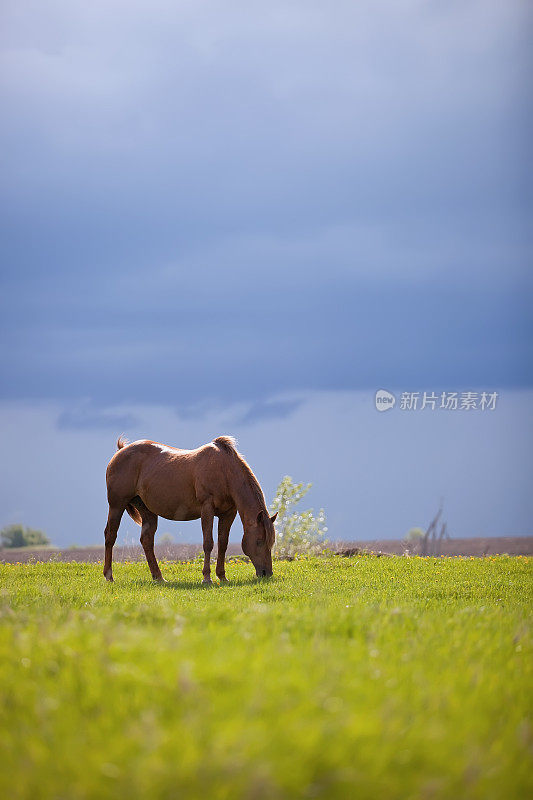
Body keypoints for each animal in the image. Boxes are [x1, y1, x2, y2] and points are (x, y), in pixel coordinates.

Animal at [104, 434, 278, 584]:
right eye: (259, 541)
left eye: (271, 541)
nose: (267, 573)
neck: (224, 471)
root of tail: (120, 451)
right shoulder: (207, 509)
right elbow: (208, 543)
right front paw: (207, 578)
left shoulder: (228, 513)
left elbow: (223, 544)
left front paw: (222, 576)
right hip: (116, 505)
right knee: (110, 535)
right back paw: (109, 576)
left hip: (147, 510)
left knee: (146, 540)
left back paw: (158, 577)